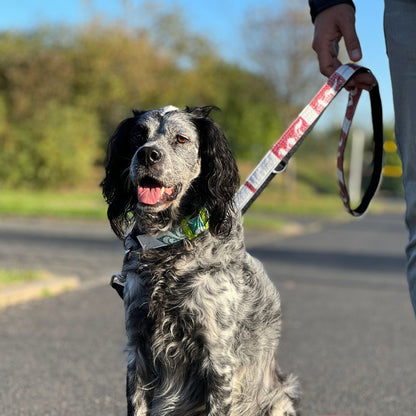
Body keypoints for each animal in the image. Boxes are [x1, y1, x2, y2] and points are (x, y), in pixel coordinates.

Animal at [102, 106, 300, 416]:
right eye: (137, 136)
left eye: (181, 139)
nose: (147, 154)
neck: (170, 245)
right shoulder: (137, 350)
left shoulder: (217, 360)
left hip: (278, 402)